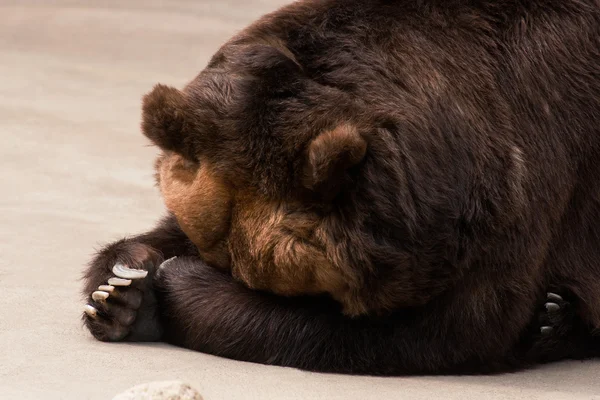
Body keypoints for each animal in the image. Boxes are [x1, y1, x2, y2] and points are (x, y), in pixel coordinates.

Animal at [81, 0, 600, 376]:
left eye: (273, 286)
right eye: (211, 250)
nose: (200, 267)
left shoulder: (527, 175)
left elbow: (449, 327)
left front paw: (174, 286)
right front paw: (122, 285)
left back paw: (555, 318)